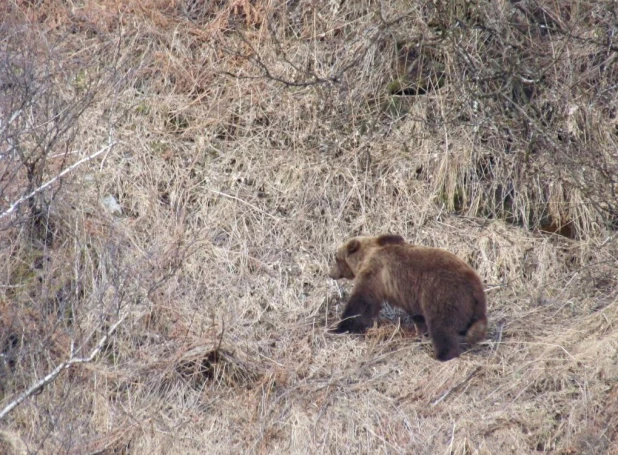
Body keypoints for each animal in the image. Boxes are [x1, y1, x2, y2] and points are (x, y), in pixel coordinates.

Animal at [328, 235, 486, 364]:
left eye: (336, 258)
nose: (330, 274)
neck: (364, 256)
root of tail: (475, 287)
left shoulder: (374, 274)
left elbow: (361, 303)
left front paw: (340, 327)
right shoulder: (411, 296)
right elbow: (417, 315)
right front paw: (421, 333)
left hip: (444, 294)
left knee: (442, 326)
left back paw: (443, 355)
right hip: (471, 306)